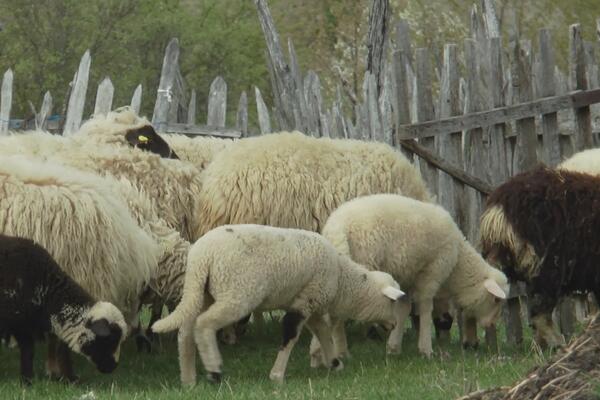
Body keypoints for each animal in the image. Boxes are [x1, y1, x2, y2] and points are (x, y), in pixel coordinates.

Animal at [0, 234, 127, 384]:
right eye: (111, 339)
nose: (113, 367)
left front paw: (70, 378)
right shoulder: (19, 322)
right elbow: (28, 350)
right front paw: (27, 380)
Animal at [150, 225, 406, 384]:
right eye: (392, 304)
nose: (394, 325)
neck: (342, 281)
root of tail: (201, 258)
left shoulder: (311, 303)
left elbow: (323, 333)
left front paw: (334, 363)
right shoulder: (306, 301)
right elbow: (290, 335)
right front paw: (277, 376)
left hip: (202, 293)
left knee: (185, 332)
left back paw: (189, 379)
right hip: (237, 293)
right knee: (203, 325)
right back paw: (214, 371)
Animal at [316, 194, 508, 360]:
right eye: (496, 300)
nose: (491, 325)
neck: (458, 263)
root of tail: (337, 227)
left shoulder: (406, 278)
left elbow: (403, 308)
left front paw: (394, 347)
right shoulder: (432, 273)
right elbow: (425, 308)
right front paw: (426, 349)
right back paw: (341, 351)